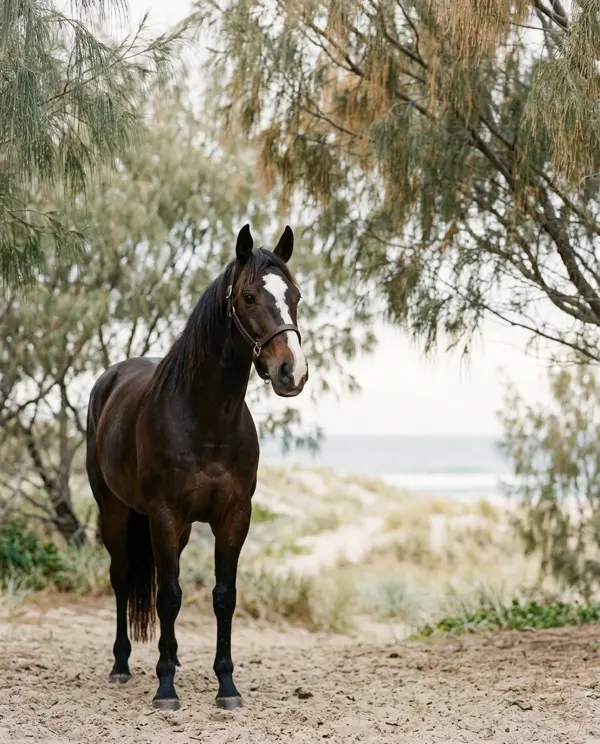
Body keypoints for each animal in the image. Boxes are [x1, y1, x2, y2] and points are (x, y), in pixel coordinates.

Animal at [85, 225, 308, 711]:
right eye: (248, 296)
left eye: (295, 295)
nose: (292, 373)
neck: (206, 420)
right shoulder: (165, 515)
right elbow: (168, 596)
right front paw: (165, 688)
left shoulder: (233, 517)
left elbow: (223, 597)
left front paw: (226, 685)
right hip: (114, 512)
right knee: (122, 578)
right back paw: (122, 665)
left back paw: (173, 658)